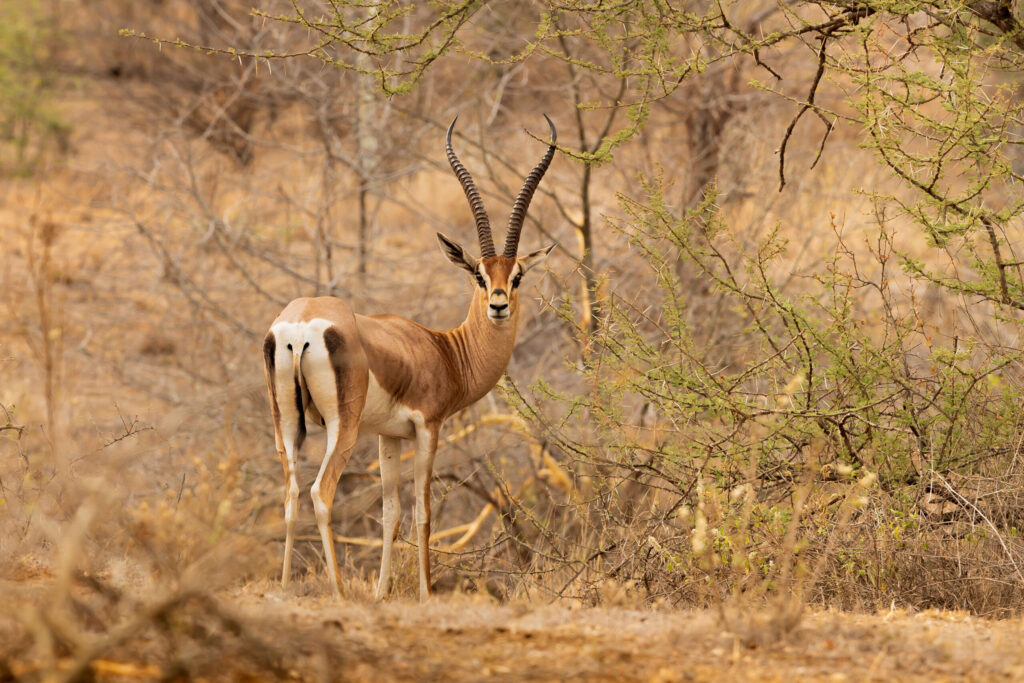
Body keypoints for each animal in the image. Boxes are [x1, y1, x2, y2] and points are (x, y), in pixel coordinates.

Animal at [263, 117, 557, 601]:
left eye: (517, 275)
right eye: (479, 275)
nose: (498, 305)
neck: (446, 350)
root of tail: (302, 323)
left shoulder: (389, 436)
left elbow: (391, 513)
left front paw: (382, 594)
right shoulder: (427, 428)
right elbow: (423, 512)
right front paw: (424, 593)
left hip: (285, 423)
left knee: (289, 494)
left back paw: (285, 588)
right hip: (342, 428)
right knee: (320, 492)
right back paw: (339, 592)